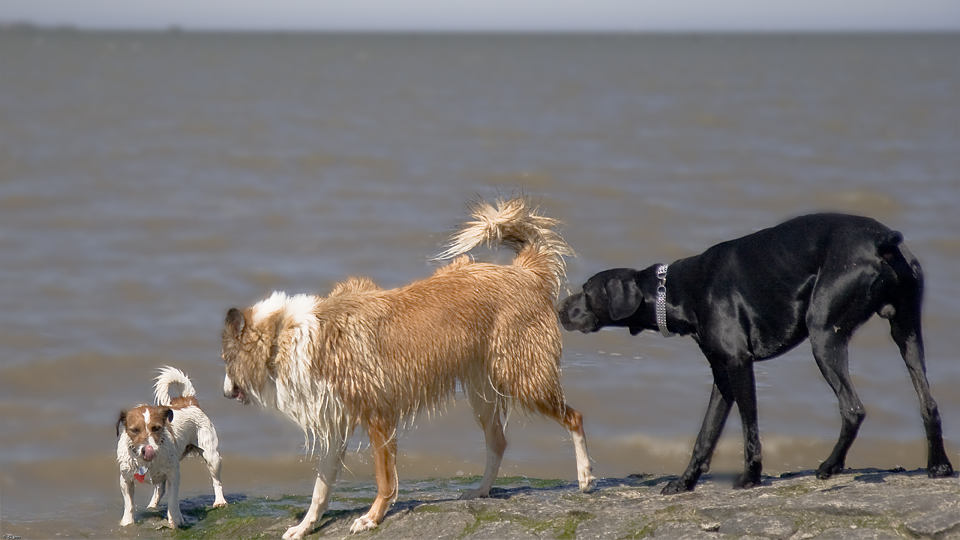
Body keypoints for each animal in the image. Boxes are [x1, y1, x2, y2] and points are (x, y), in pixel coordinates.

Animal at [116, 368, 227, 528]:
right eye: (134, 430)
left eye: (156, 428)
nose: (147, 449)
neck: (145, 462)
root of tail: (189, 401)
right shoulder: (125, 479)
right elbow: (129, 503)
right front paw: (127, 522)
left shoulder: (174, 474)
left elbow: (173, 499)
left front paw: (175, 519)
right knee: (160, 490)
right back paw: (152, 506)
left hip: (212, 457)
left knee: (216, 480)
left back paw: (219, 501)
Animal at [222, 196, 596, 536]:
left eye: (226, 359)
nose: (224, 393)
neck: (284, 335)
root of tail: (525, 272)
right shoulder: (336, 424)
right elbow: (320, 488)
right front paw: (304, 527)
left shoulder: (378, 417)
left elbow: (383, 479)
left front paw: (372, 518)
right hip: (482, 392)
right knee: (498, 442)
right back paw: (481, 490)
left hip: (524, 378)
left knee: (574, 417)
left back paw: (585, 477)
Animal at [560, 212, 956, 494]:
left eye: (586, 291)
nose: (561, 307)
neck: (677, 288)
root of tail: (881, 240)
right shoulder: (721, 376)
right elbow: (705, 435)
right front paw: (685, 482)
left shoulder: (740, 364)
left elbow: (749, 428)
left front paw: (750, 477)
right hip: (907, 332)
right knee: (929, 403)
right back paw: (939, 466)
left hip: (824, 335)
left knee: (853, 409)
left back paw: (829, 467)